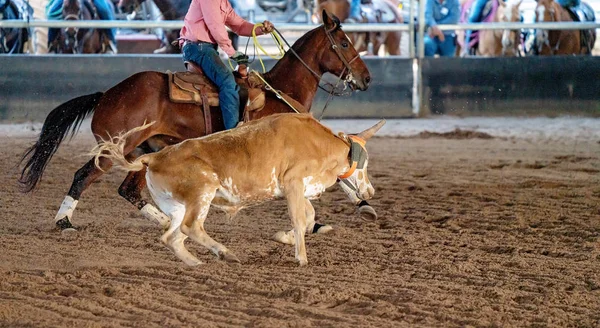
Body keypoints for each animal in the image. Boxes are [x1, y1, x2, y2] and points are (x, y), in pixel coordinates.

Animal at [18, 10, 372, 236]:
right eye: (344, 43)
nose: (366, 78)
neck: (280, 90)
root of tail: (107, 93)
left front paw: (360, 206)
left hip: (144, 151)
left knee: (128, 190)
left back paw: (168, 223)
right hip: (115, 148)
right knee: (83, 176)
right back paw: (64, 222)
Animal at [93, 114, 384, 266]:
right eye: (365, 164)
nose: (370, 192)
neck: (318, 143)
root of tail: (154, 157)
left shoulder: (295, 189)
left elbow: (309, 217)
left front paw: (284, 238)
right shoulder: (293, 183)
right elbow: (300, 220)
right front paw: (301, 257)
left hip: (176, 207)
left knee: (171, 237)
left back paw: (197, 264)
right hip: (203, 190)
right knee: (190, 228)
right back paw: (225, 253)